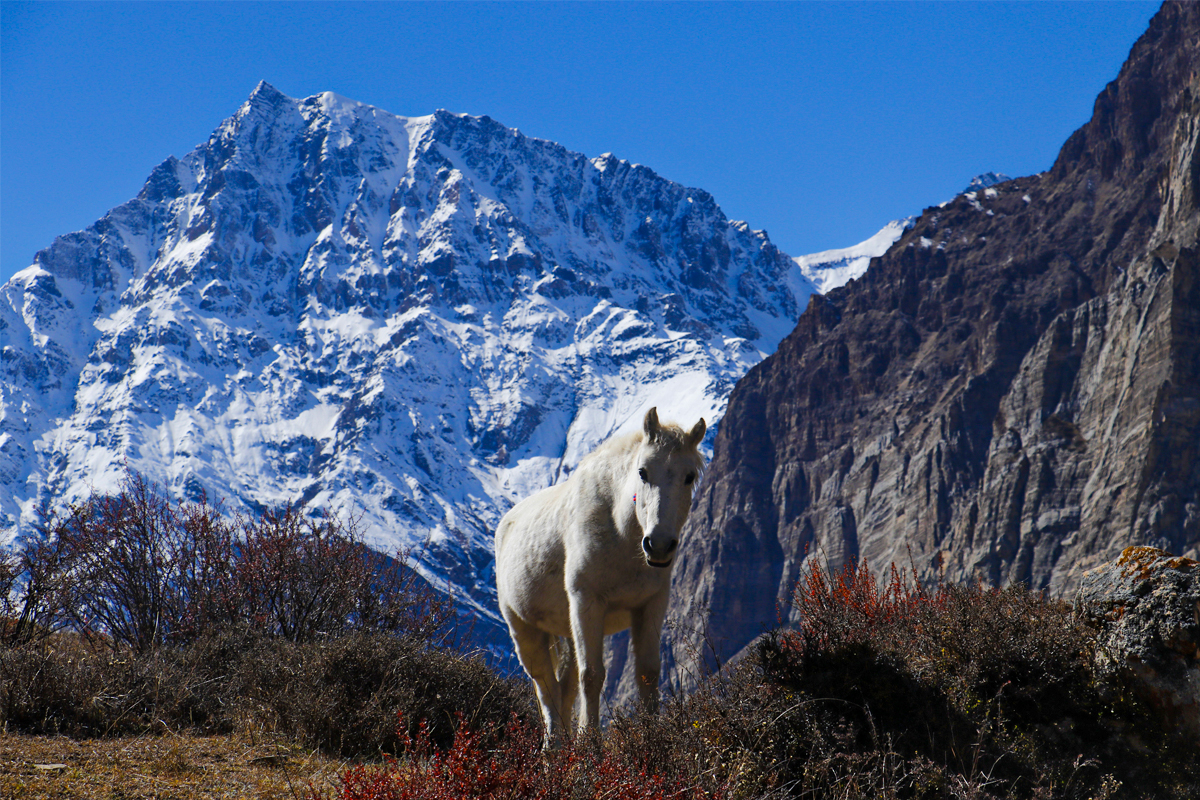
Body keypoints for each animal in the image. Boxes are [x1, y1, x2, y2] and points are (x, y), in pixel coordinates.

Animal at [494, 410, 700, 748]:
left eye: (690, 476)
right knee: (546, 689)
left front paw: (652, 741)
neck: (621, 531)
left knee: (563, 690)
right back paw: (553, 750)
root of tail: (505, 523)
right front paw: (590, 746)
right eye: (643, 472)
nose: (658, 545)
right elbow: (591, 676)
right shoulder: (586, 602)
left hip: (566, 631)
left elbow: (648, 673)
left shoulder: (651, 604)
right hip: (525, 631)